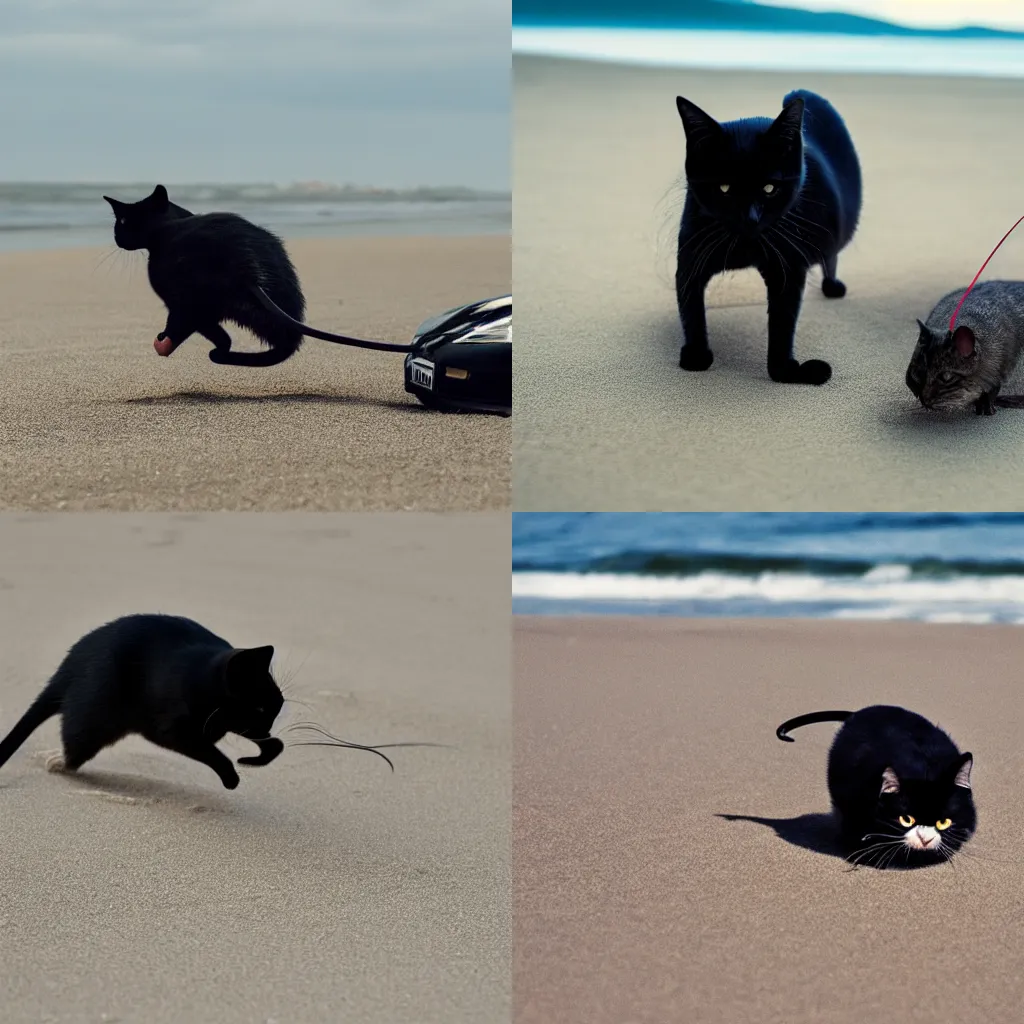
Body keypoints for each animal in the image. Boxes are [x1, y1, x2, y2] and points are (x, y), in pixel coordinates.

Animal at [0, 610, 284, 786]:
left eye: (278, 707)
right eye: (260, 708)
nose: (268, 726)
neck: (202, 677)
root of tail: (65, 669)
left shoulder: (222, 724)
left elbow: (276, 745)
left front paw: (257, 755)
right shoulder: (171, 729)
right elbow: (211, 751)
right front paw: (231, 775)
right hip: (95, 714)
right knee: (75, 746)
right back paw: (58, 762)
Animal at [675, 86, 860, 385]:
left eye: (770, 188)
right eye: (724, 188)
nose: (751, 217)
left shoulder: (788, 267)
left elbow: (782, 323)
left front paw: (785, 371)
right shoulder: (691, 256)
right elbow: (690, 308)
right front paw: (696, 355)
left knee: (830, 258)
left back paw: (832, 286)